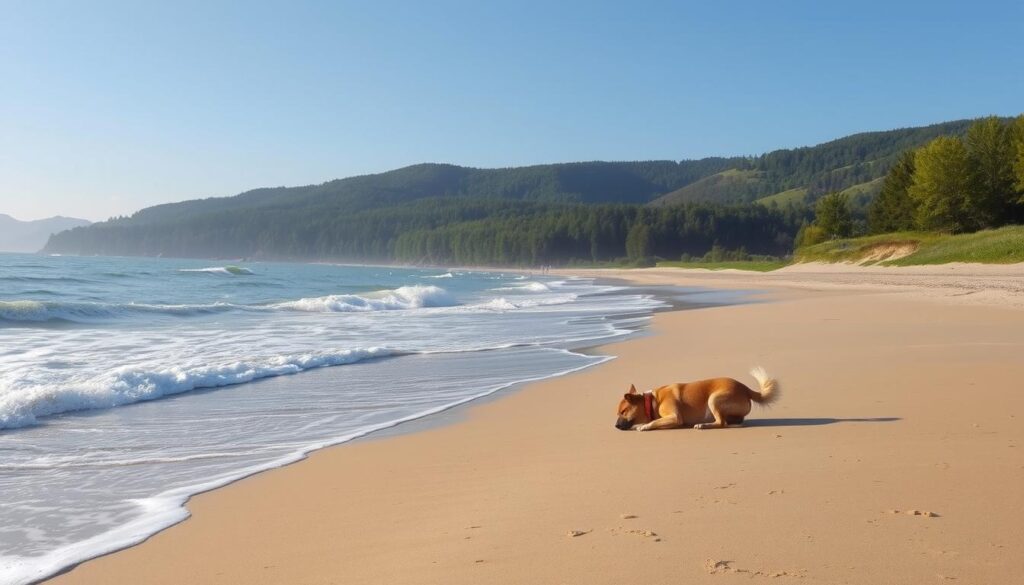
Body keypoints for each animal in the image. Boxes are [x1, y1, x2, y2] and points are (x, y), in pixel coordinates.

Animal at [610, 368, 778, 432]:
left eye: (623, 411)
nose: (616, 426)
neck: (651, 401)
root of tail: (746, 389)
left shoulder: (675, 417)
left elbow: (654, 422)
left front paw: (644, 426)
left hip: (713, 399)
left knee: (721, 422)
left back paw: (703, 425)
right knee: (732, 421)